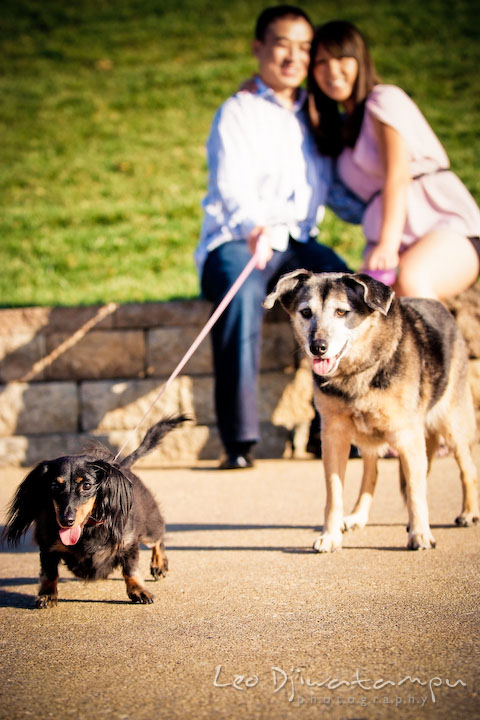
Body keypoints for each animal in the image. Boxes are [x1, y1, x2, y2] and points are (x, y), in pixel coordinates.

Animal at [264, 270, 478, 552]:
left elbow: (416, 490)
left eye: (341, 312)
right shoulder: (334, 438)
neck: (357, 372)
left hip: (452, 425)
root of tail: (443, 309)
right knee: (371, 473)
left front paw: (420, 533)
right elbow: (334, 493)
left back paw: (468, 512)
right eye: (306, 312)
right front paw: (331, 535)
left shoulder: (408, 437)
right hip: (368, 439)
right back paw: (357, 516)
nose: (317, 347)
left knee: (467, 469)